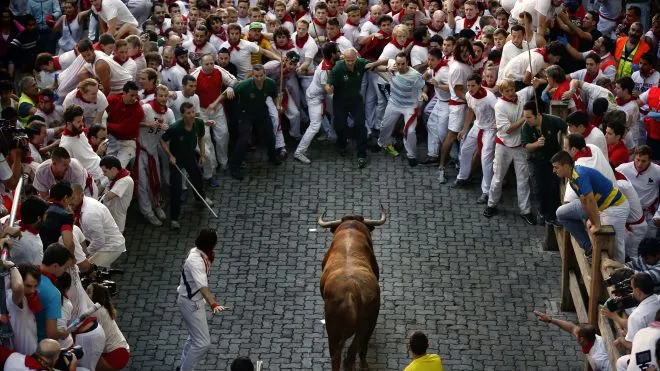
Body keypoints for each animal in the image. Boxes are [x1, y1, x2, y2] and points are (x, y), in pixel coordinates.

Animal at [316, 206, 384, 371]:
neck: (350, 233)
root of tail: (354, 292)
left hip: (335, 330)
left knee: (339, 354)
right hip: (369, 320)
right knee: (360, 346)